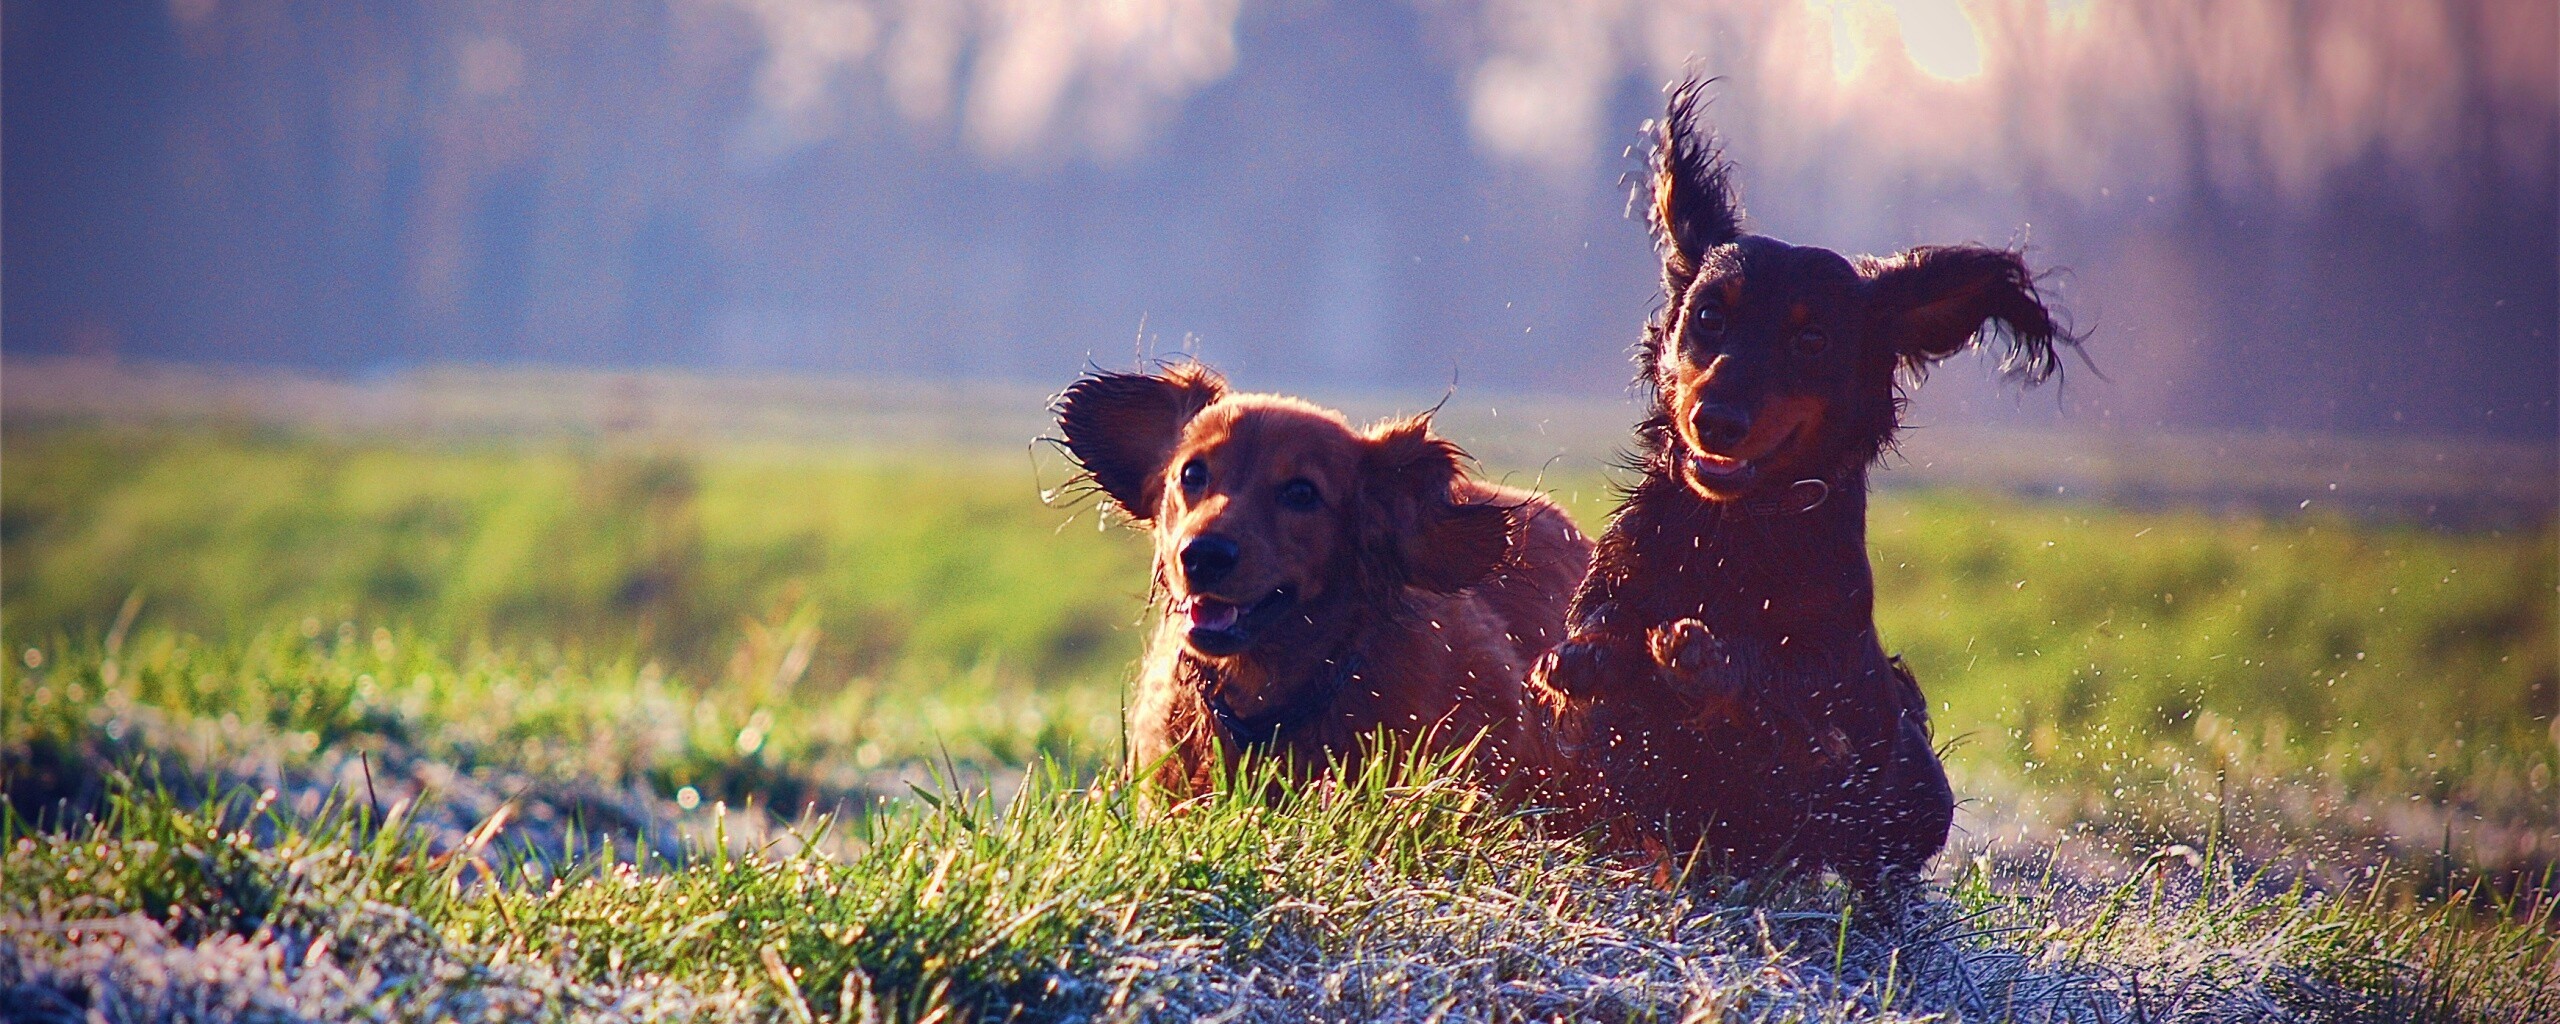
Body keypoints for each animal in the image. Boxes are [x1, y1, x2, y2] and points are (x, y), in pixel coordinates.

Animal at [1525, 85, 2068, 885]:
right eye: (1709, 315)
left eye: (1811, 340)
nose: (1715, 421)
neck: (1732, 531)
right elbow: (1595, 659)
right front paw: (1594, 658)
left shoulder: (1833, 717)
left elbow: (1785, 702)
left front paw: (1704, 658)